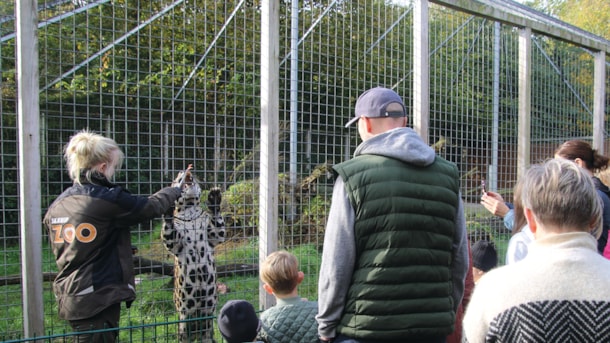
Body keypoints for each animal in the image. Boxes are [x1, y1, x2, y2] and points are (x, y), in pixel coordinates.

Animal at [162, 169, 226, 343]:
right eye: (176, 176)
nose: (182, 170)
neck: (190, 210)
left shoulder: (214, 236)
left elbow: (217, 227)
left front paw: (214, 198)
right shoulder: (175, 243)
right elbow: (169, 232)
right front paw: (168, 209)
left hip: (208, 325)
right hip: (183, 325)